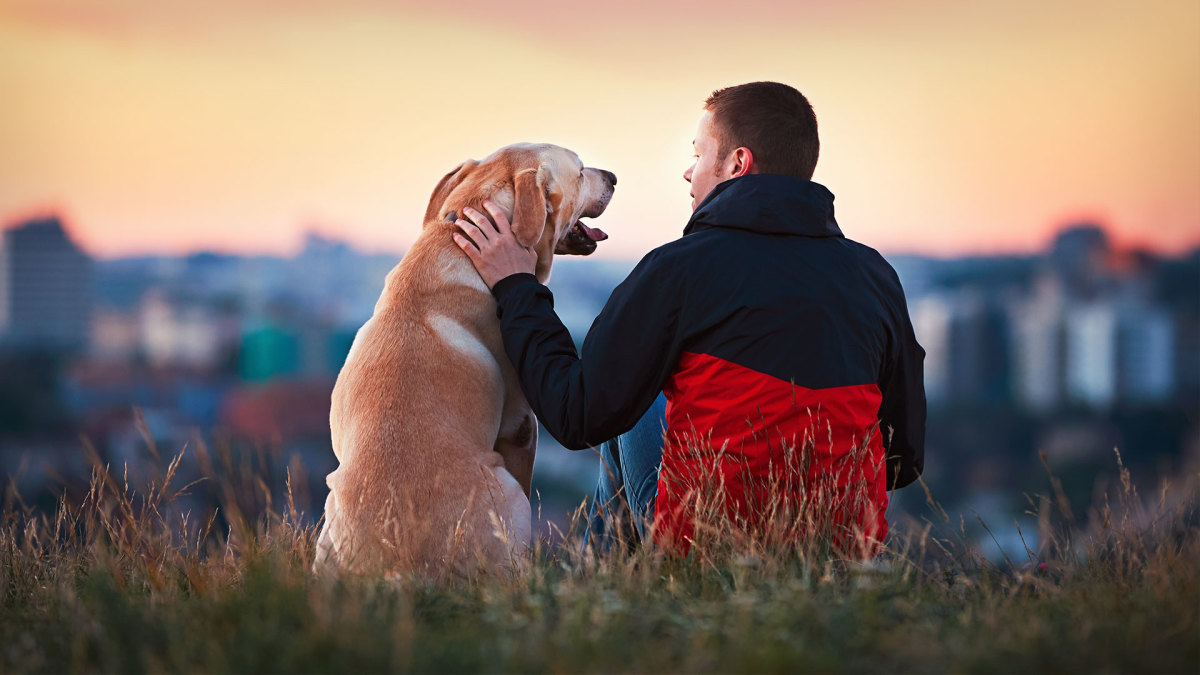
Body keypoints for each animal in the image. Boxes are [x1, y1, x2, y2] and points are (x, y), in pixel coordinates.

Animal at [314, 141, 614, 578]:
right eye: (578, 171)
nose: (613, 177)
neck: (455, 242)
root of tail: (396, 566)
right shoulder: (522, 426)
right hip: (508, 493)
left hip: (327, 520)